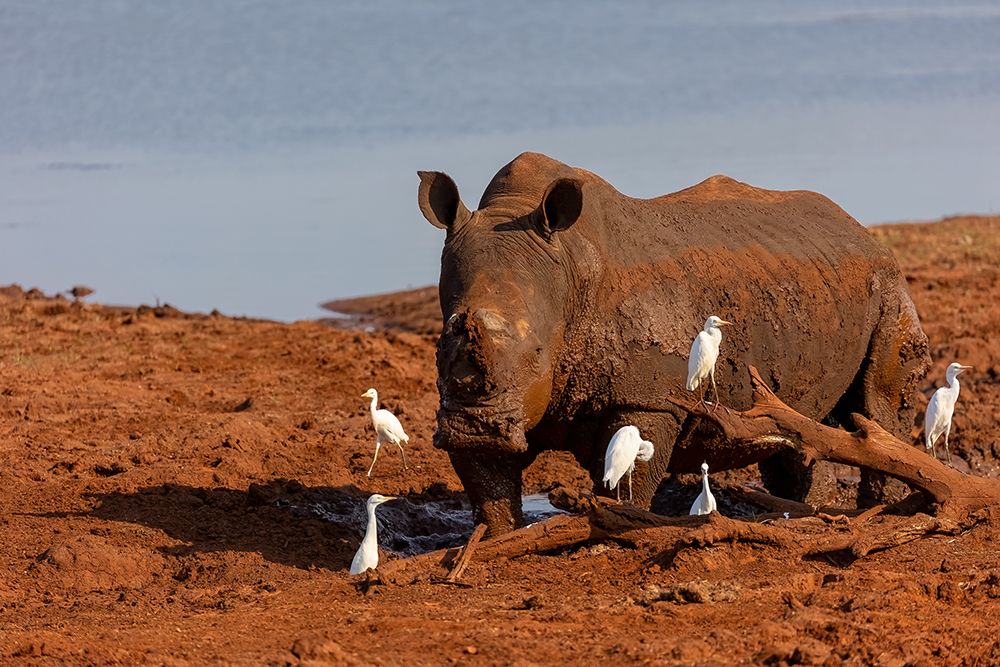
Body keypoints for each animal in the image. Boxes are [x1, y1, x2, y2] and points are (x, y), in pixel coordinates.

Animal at [417, 152, 929, 535]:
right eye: (441, 347)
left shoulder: (649, 398)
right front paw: (497, 537)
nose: (475, 428)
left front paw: (619, 523)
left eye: (539, 354)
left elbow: (630, 472)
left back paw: (880, 510)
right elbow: (490, 486)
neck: (569, 271)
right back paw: (804, 510)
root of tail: (859, 227)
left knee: (876, 406)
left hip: (886, 282)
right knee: (802, 423)